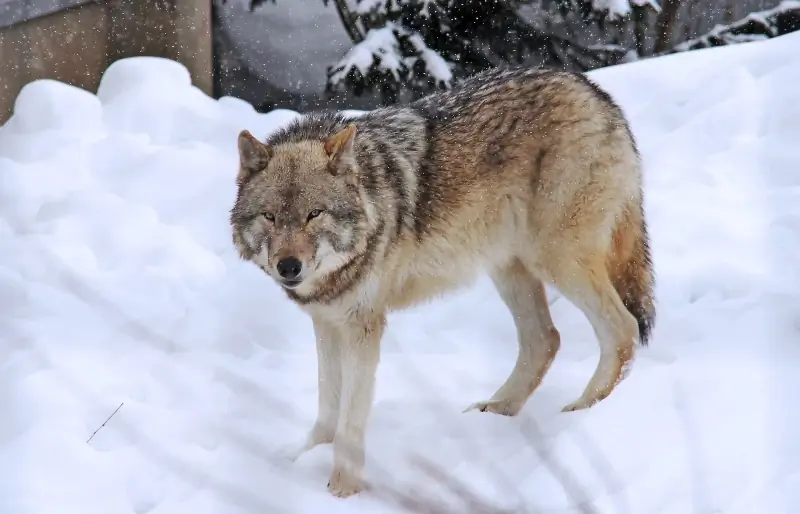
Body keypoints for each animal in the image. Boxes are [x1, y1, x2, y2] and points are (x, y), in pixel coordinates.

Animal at [228, 66, 652, 498]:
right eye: (270, 216)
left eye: (314, 214)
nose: (288, 267)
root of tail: (595, 92)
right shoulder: (327, 322)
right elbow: (328, 405)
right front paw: (304, 459)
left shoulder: (364, 325)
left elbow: (352, 414)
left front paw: (343, 489)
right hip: (509, 268)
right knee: (545, 340)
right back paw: (497, 410)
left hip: (557, 260)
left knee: (622, 329)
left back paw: (582, 413)